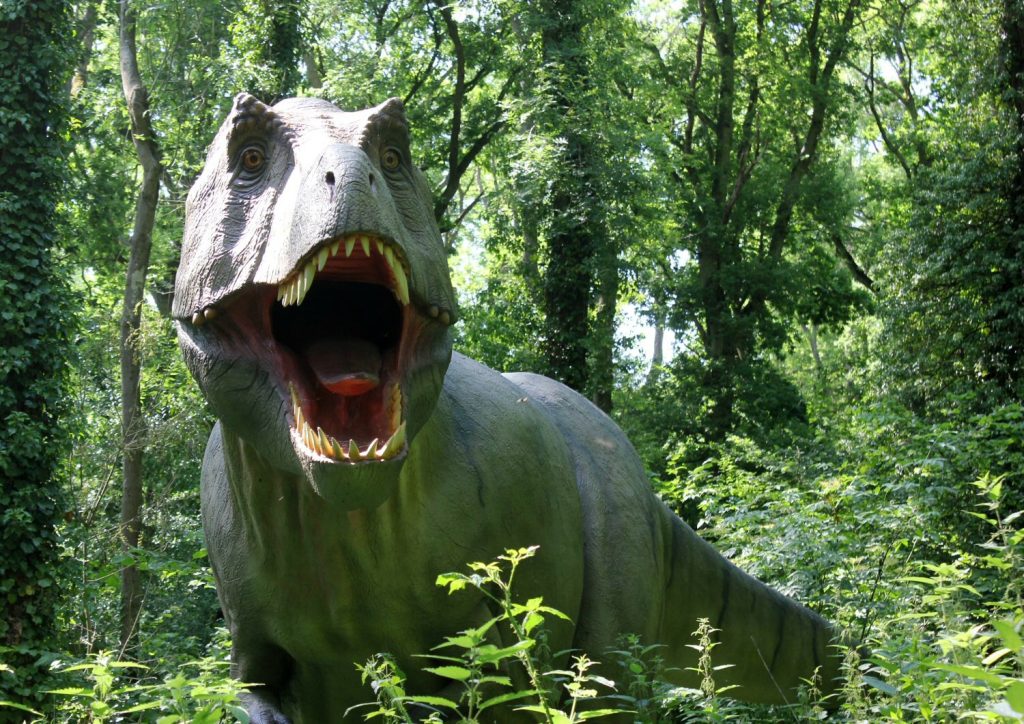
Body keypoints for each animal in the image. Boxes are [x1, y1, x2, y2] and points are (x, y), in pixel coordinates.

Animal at [174, 93, 842, 722]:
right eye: (249, 158)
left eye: (392, 157)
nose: (353, 177)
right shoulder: (249, 634)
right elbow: (251, 693)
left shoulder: (482, 629)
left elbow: (480, 683)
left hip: (615, 525)